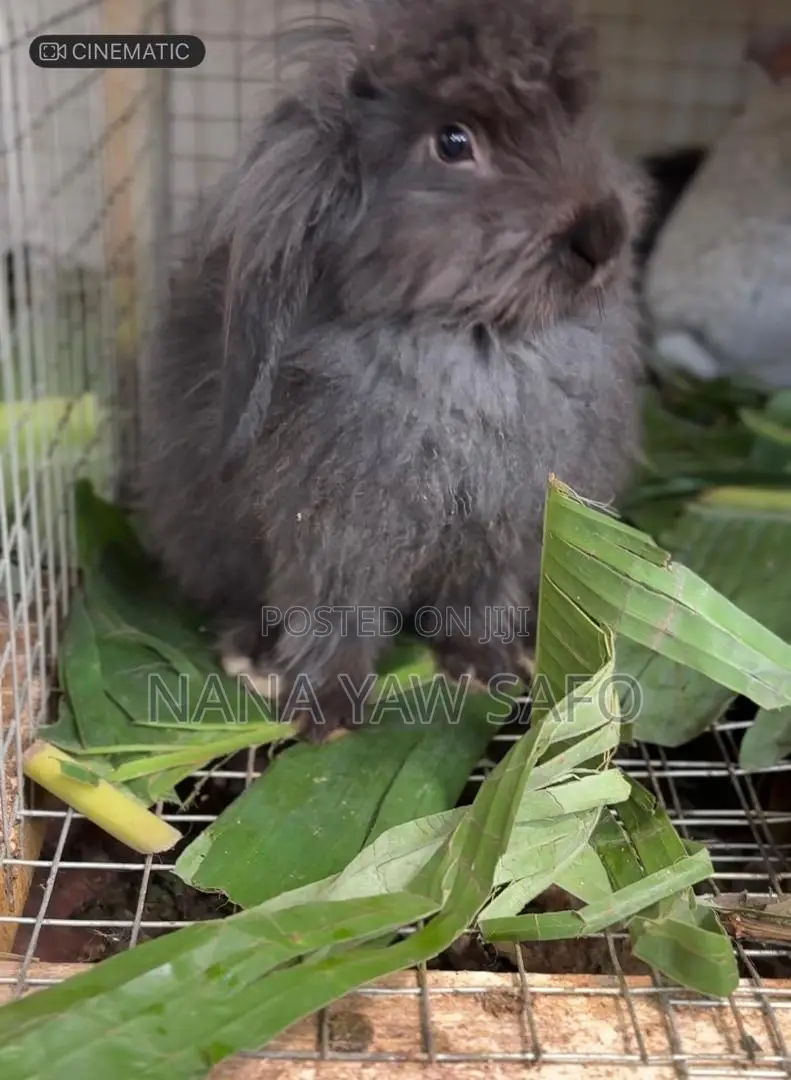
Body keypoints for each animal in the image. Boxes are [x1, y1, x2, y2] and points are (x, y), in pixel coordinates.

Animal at [137, 0, 647, 742]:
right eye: (454, 142)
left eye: (572, 114)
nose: (602, 237)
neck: (476, 345)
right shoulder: (333, 538)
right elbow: (332, 621)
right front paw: (329, 717)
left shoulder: (503, 533)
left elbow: (479, 604)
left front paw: (488, 670)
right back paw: (252, 659)